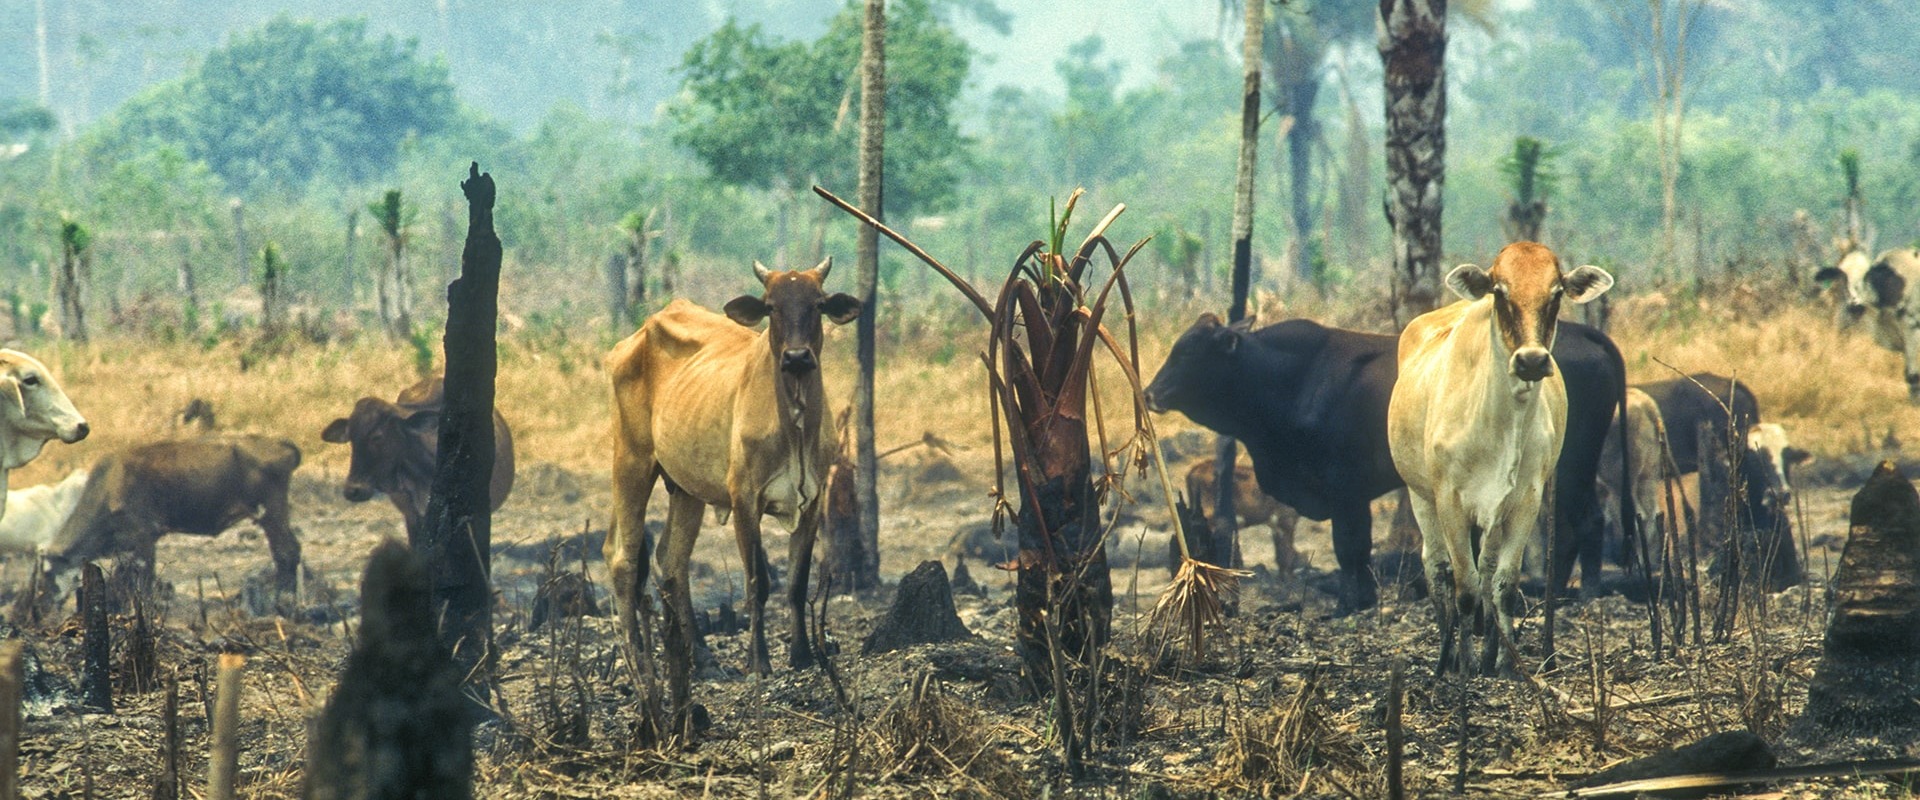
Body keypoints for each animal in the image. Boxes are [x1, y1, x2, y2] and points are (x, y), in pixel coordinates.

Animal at [606, 257, 864, 729]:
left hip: (685, 489)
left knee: (671, 561)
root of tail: (636, 335)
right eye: (771, 306)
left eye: (818, 304)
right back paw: (637, 659)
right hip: (631, 460)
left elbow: (796, 583)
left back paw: (702, 658)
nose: (797, 357)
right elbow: (758, 582)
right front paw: (758, 661)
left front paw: (802, 655)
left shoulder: (813, 502)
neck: (794, 420)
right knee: (623, 559)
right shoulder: (745, 499)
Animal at [1144, 310, 1628, 610]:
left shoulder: (1345, 487)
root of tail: (1584, 332)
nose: (1150, 393)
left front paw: (1349, 602)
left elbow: (1349, 548)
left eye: (1189, 352)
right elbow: (1356, 550)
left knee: (1584, 519)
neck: (1294, 378)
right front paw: (1360, 599)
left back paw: (1579, 592)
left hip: (1572, 462)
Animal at [1390, 241, 1612, 675]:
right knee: (1436, 568)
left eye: (1556, 293)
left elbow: (1503, 584)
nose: (1531, 360)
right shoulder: (1449, 500)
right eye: (1500, 291)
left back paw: (1490, 651)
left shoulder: (1525, 500)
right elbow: (1464, 587)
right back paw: (1447, 656)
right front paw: (1465, 664)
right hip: (1418, 494)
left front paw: (1508, 664)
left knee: (1488, 571)